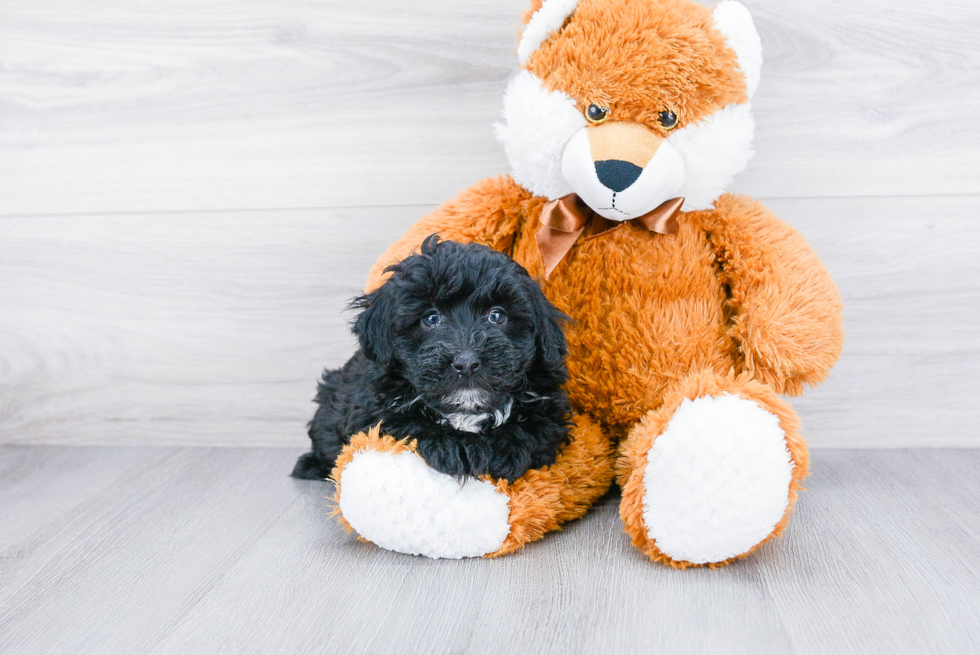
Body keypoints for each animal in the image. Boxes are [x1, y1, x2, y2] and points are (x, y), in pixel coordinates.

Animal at [290, 236, 572, 482]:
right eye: (431, 318)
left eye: (497, 316)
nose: (466, 363)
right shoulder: (372, 408)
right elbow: (407, 424)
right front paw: (453, 447)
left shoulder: (549, 406)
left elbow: (536, 427)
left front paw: (506, 450)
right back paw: (310, 465)